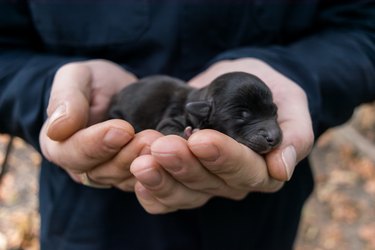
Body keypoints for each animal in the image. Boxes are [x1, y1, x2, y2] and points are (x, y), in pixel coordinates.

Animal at [108, 71, 282, 154]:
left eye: (274, 113)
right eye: (242, 116)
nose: (274, 138)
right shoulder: (173, 116)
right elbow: (167, 126)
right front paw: (188, 133)